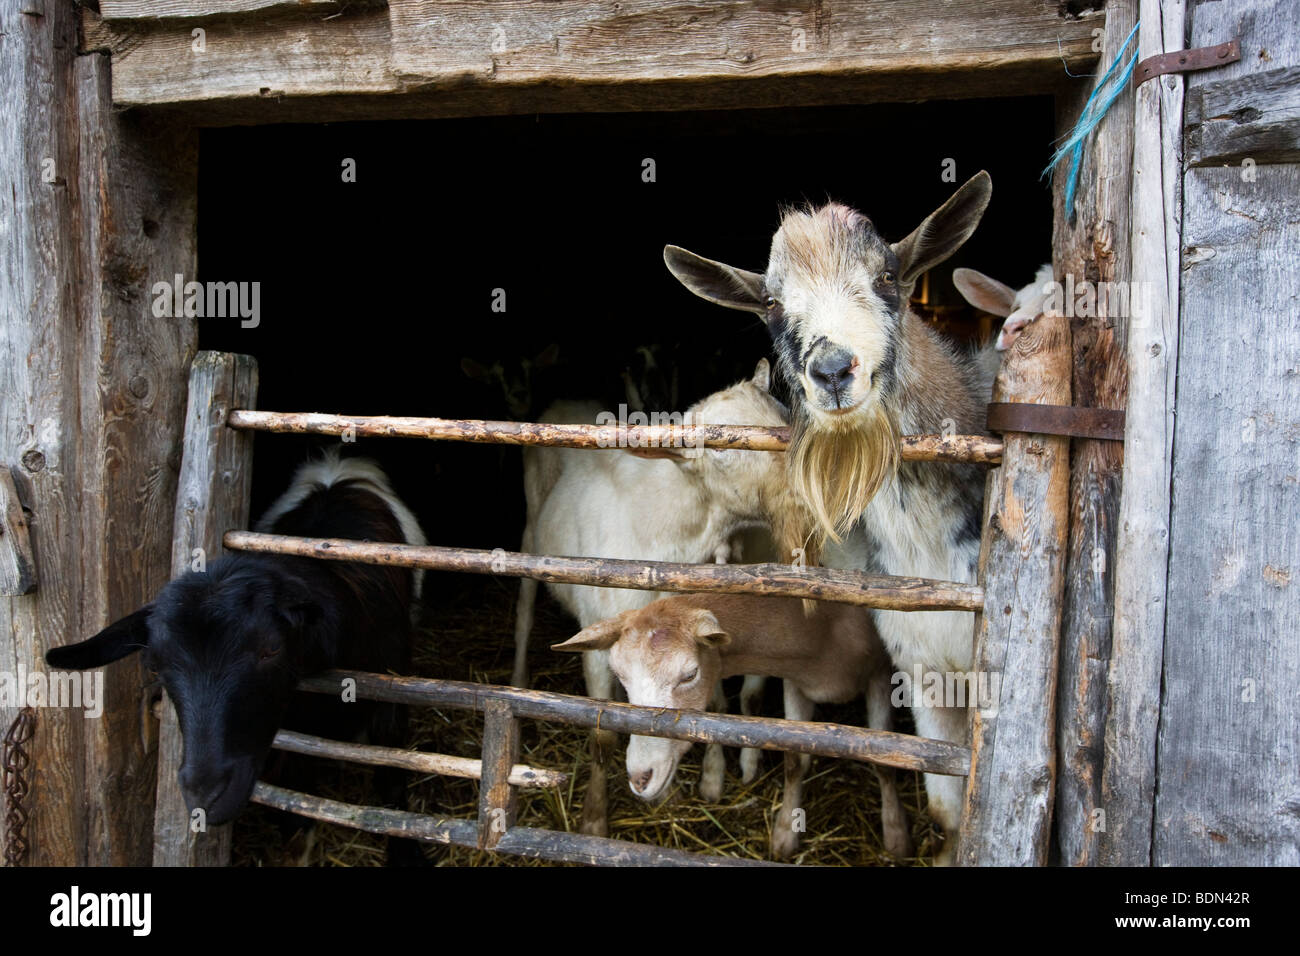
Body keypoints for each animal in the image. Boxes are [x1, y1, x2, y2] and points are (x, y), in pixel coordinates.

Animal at [512, 361, 795, 832]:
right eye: (722, 448)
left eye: (784, 416)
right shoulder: (598, 640)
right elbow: (602, 734)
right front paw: (593, 820)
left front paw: (712, 779)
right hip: (531, 533)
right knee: (523, 614)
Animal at [553, 595, 909, 863]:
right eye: (619, 676)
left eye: (690, 675)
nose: (640, 778)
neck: (821, 628)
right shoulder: (795, 684)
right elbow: (794, 761)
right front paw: (785, 833)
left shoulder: (880, 675)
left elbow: (884, 762)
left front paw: (895, 835)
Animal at [665, 174, 998, 868]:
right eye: (769, 302)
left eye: (889, 275)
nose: (833, 370)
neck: (927, 538)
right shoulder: (920, 668)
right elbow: (945, 808)